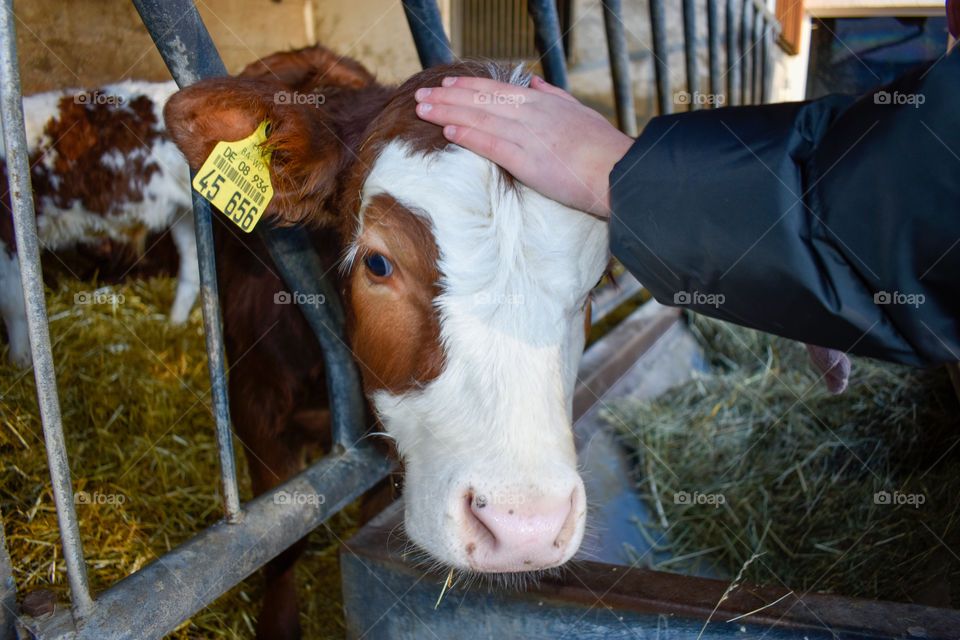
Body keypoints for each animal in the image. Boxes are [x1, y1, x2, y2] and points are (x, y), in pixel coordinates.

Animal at [0, 81, 199, 364]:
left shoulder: (7, 232)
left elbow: (13, 304)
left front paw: (20, 362)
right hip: (184, 213)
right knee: (192, 267)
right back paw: (175, 323)